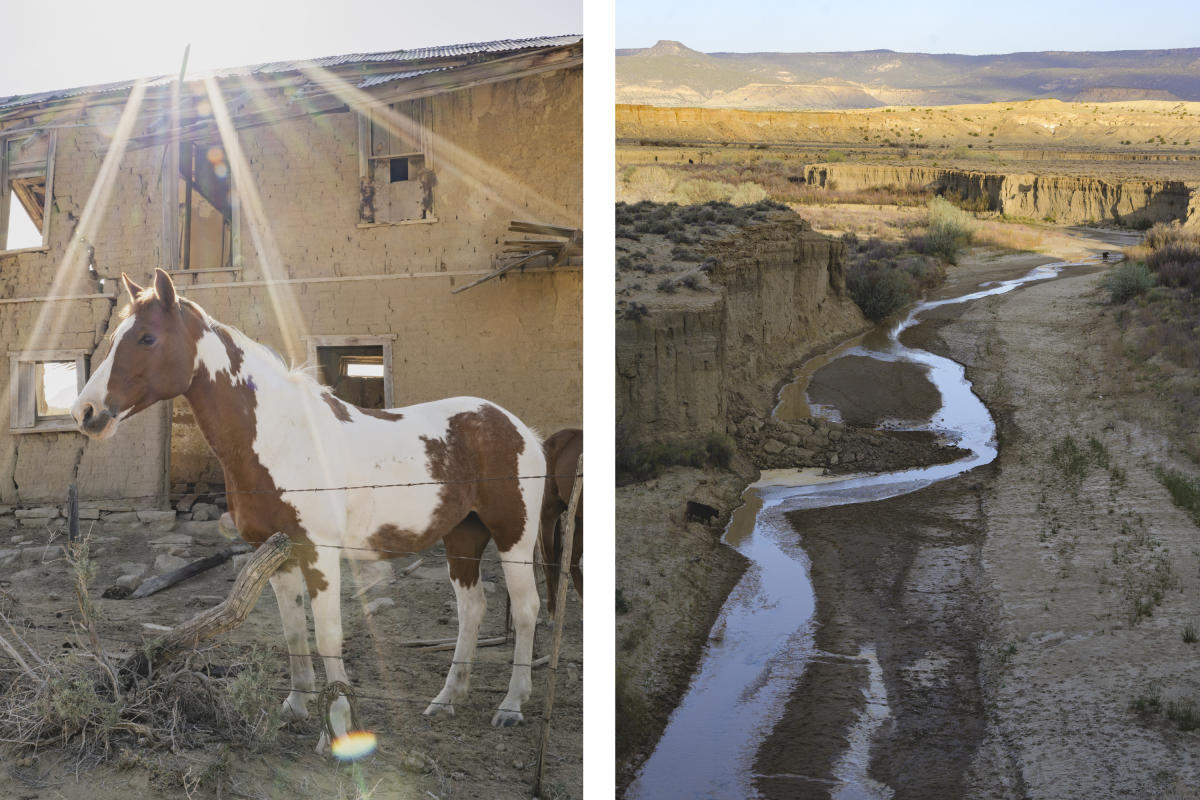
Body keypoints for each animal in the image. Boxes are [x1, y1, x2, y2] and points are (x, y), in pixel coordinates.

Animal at [70, 271, 544, 753]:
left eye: (148, 337)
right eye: (115, 339)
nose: (85, 411)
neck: (283, 438)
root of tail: (519, 428)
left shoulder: (320, 552)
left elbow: (328, 633)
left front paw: (338, 723)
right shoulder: (276, 554)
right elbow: (294, 629)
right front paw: (296, 705)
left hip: (514, 537)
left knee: (526, 609)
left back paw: (511, 705)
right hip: (463, 536)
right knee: (472, 608)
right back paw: (447, 699)